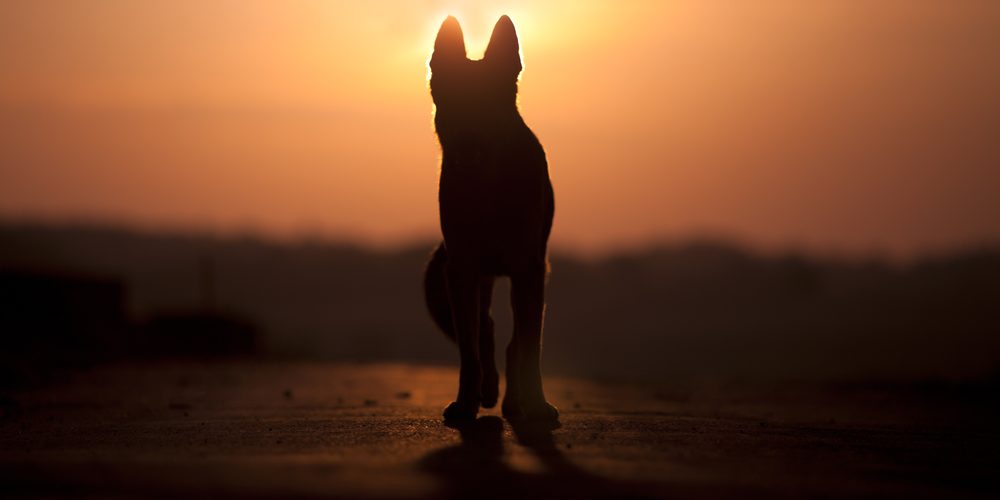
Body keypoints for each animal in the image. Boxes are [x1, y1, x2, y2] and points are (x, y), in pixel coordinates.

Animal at [422, 15, 560, 422]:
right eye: (453, 103)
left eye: (489, 105)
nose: (468, 143)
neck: (488, 187)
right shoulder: (462, 270)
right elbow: (471, 350)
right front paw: (466, 402)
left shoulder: (529, 269)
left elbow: (529, 347)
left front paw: (537, 404)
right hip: (462, 283)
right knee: (486, 332)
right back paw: (489, 391)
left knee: (513, 341)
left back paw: (516, 401)